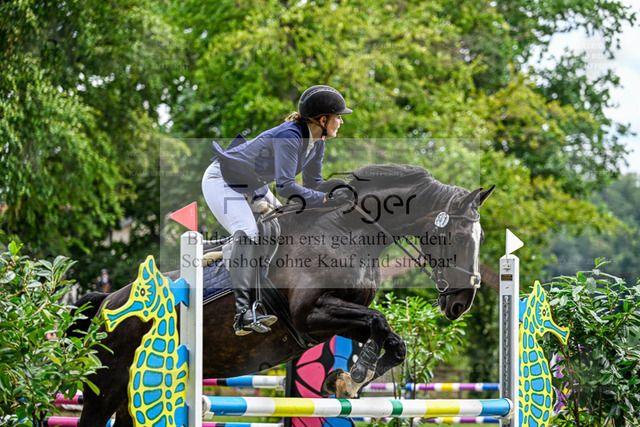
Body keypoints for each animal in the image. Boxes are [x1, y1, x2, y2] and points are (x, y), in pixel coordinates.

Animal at [68, 164, 494, 427]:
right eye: (458, 236)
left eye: (482, 237)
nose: (461, 303)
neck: (348, 232)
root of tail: (108, 301)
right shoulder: (311, 314)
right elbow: (379, 321)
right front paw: (354, 376)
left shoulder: (337, 317)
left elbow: (392, 339)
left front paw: (348, 380)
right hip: (106, 386)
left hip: (130, 392)